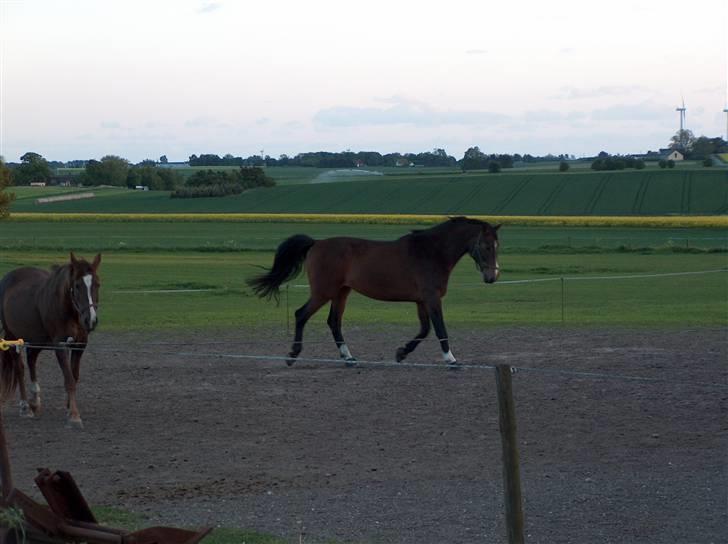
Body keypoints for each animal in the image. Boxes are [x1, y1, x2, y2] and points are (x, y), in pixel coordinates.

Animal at [0, 253, 101, 428]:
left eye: (97, 284)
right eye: (77, 286)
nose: (91, 320)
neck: (69, 311)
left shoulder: (80, 345)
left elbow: (74, 377)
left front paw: (69, 407)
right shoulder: (60, 346)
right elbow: (69, 379)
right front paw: (74, 416)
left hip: (37, 338)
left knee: (31, 359)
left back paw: (35, 400)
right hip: (12, 336)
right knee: (20, 368)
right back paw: (25, 407)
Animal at [250, 217, 500, 366]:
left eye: (497, 247)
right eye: (486, 246)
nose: (492, 277)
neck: (431, 252)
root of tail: (316, 243)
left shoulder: (421, 301)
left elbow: (424, 330)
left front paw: (401, 352)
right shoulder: (431, 298)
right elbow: (439, 329)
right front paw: (451, 359)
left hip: (341, 293)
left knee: (334, 322)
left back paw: (348, 358)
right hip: (324, 292)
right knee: (301, 315)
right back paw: (292, 355)